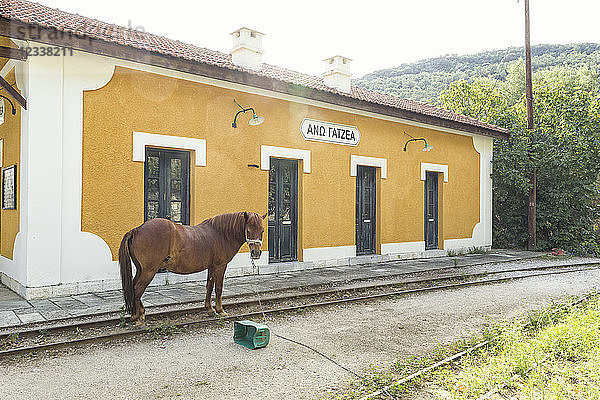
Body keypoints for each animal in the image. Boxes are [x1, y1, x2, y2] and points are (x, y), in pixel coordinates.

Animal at [119, 212, 264, 324]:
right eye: (248, 230)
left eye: (262, 230)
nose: (256, 253)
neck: (221, 234)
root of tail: (136, 230)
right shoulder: (220, 266)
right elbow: (218, 288)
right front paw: (220, 310)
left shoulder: (211, 267)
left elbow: (209, 286)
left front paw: (209, 309)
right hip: (149, 271)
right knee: (138, 289)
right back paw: (139, 318)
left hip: (140, 269)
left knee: (133, 287)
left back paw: (137, 314)